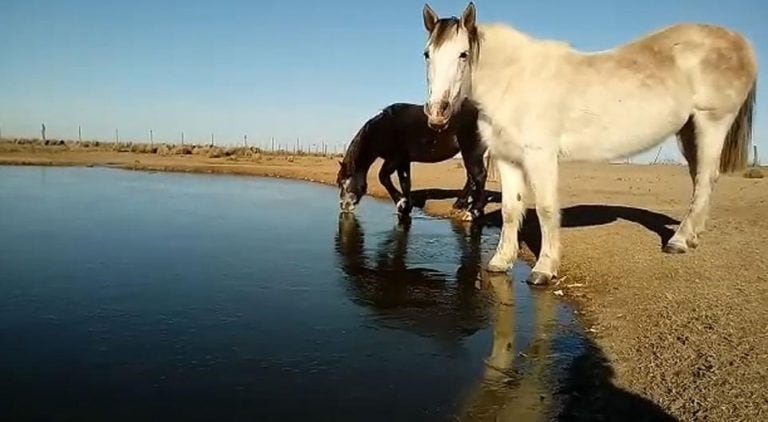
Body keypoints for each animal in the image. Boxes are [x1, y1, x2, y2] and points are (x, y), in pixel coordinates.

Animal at [334, 100, 486, 221]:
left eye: (343, 182)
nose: (343, 206)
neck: (383, 128)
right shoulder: (403, 161)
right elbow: (405, 183)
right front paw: (405, 208)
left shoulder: (395, 158)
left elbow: (383, 177)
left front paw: (401, 203)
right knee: (471, 178)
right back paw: (459, 204)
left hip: (470, 151)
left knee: (479, 176)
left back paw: (473, 212)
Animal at [424, 2, 760, 284]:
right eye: (427, 54)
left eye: (463, 54)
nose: (436, 113)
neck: (515, 80)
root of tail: (739, 42)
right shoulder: (508, 159)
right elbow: (510, 210)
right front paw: (500, 262)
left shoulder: (541, 156)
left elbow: (546, 209)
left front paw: (544, 269)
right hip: (689, 131)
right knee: (699, 180)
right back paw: (690, 237)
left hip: (711, 123)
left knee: (705, 179)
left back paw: (678, 241)